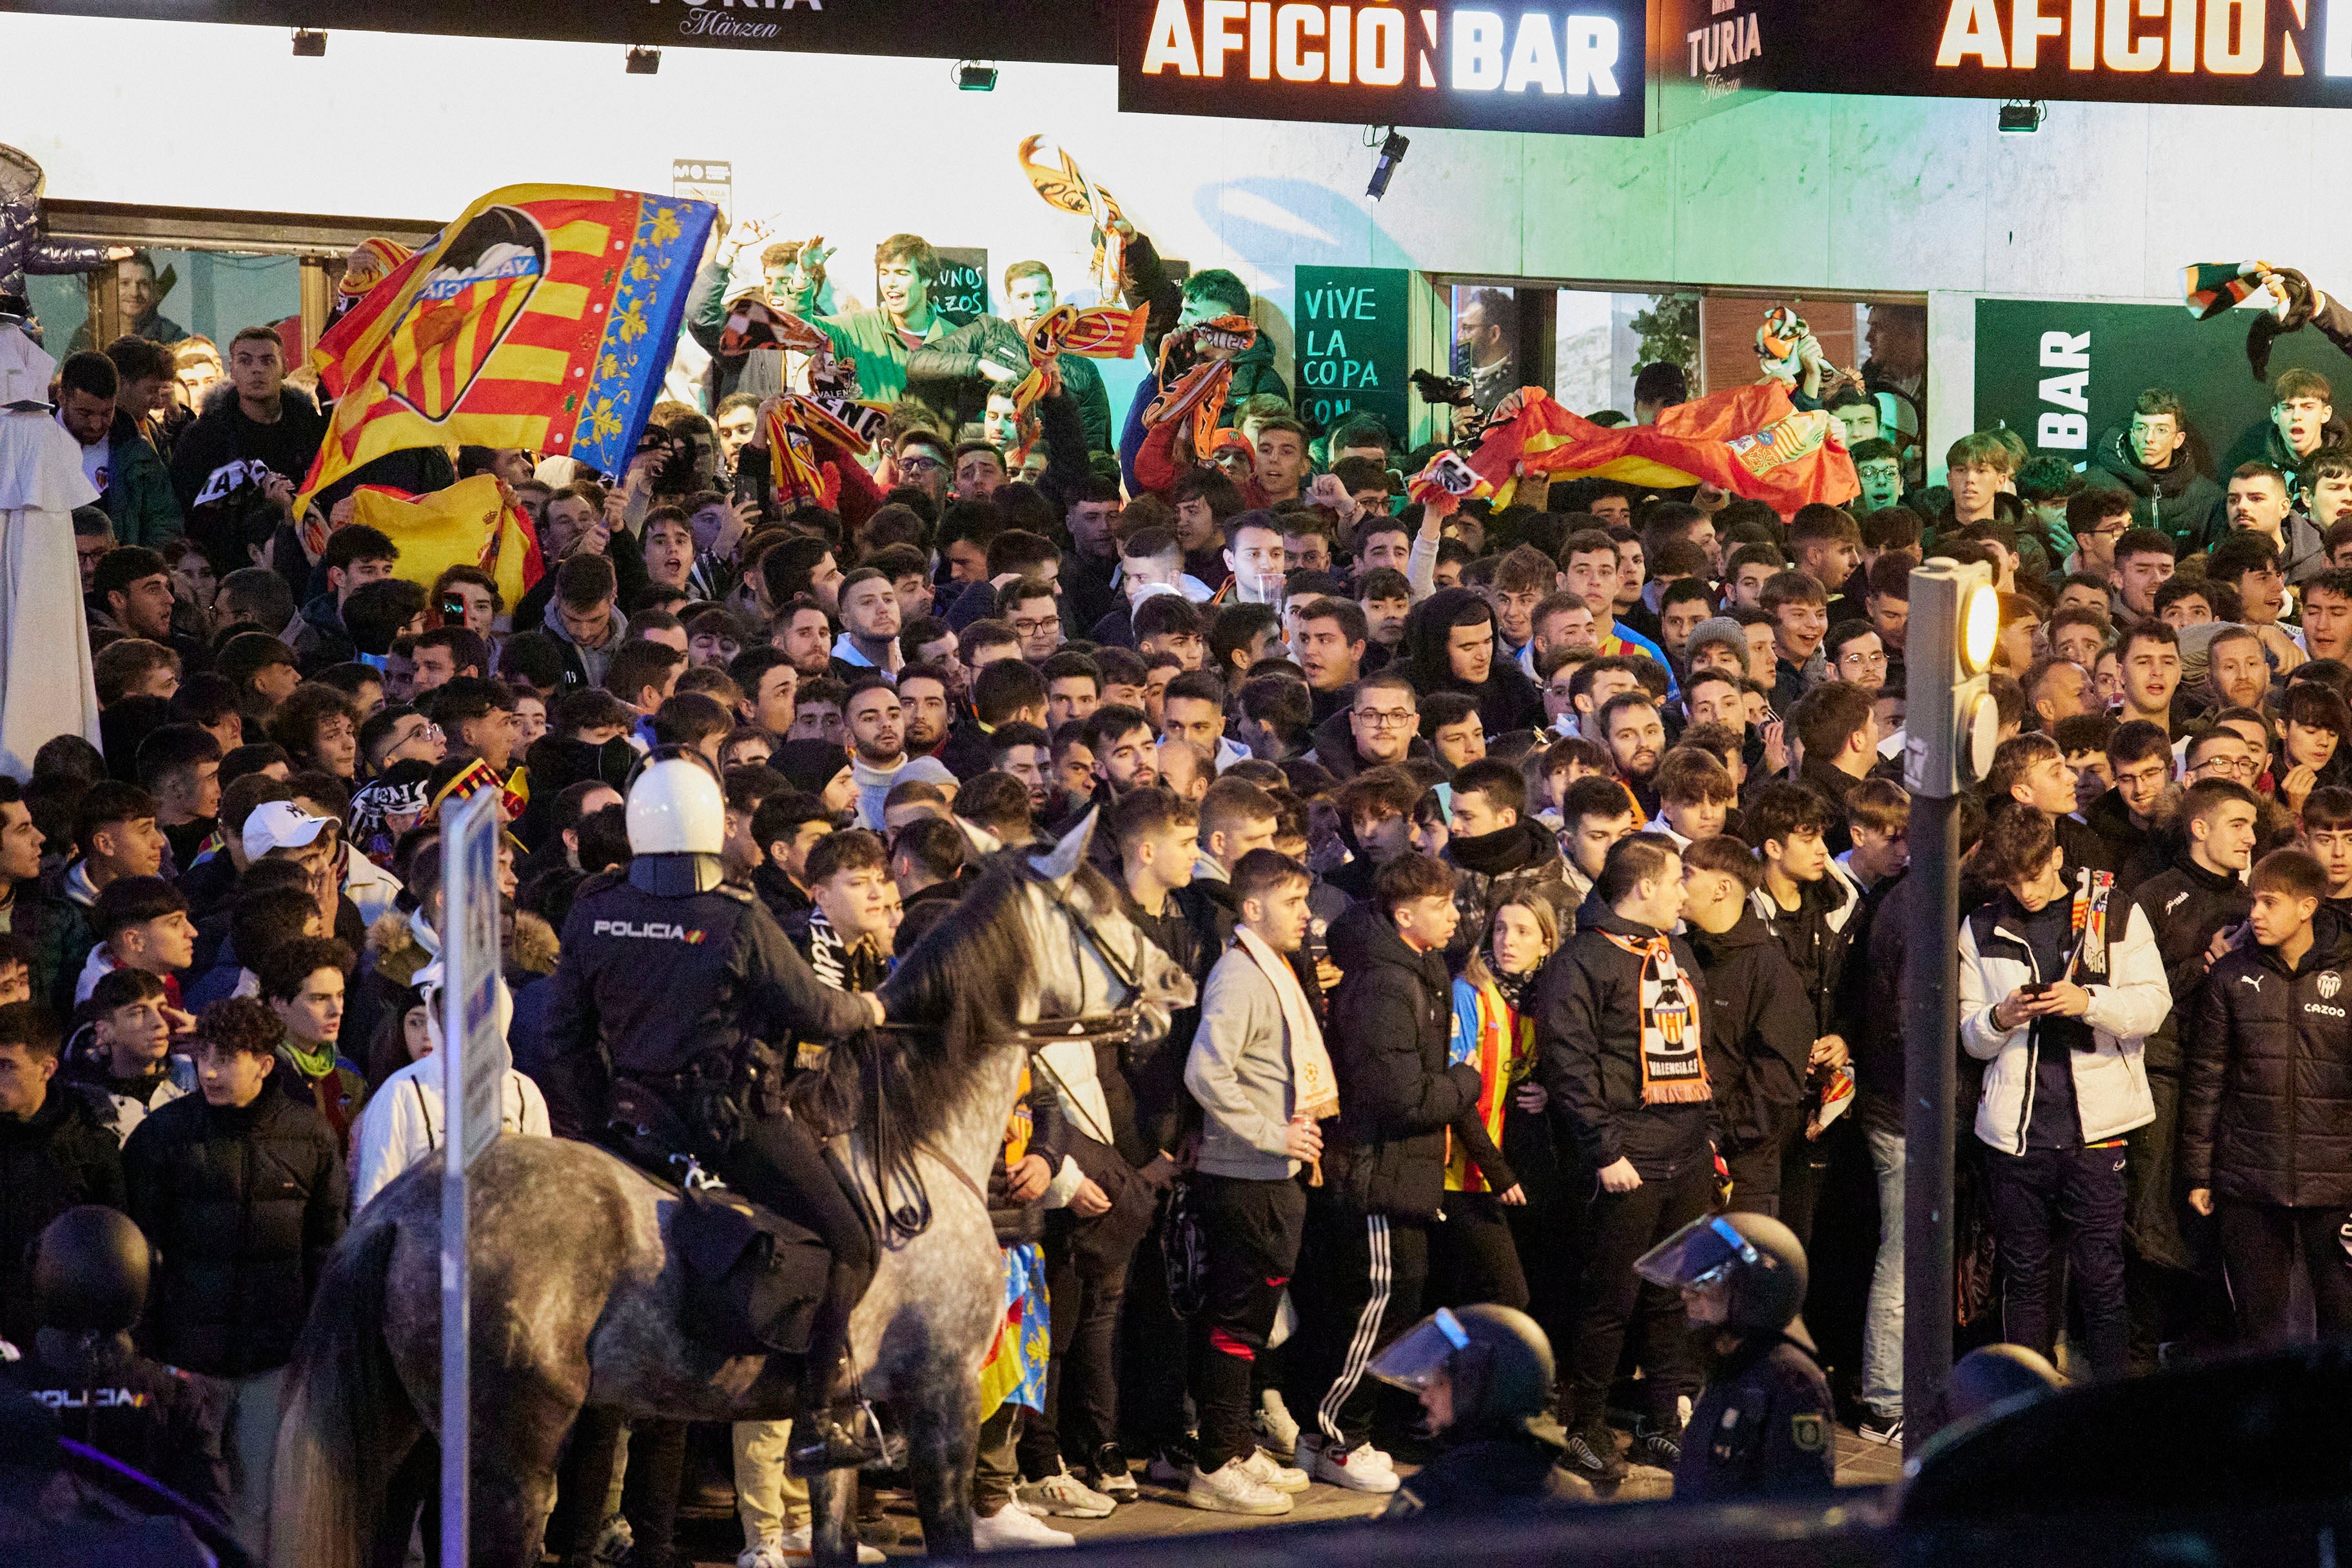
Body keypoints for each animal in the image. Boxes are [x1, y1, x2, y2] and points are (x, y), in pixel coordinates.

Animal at [270, 818, 1195, 1568]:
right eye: (1103, 908)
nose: (1180, 986)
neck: (916, 1144)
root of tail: (401, 1211)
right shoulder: (942, 1396)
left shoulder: (844, 1430)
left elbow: (833, 1530)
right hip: (511, 1448)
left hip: (402, 1443)